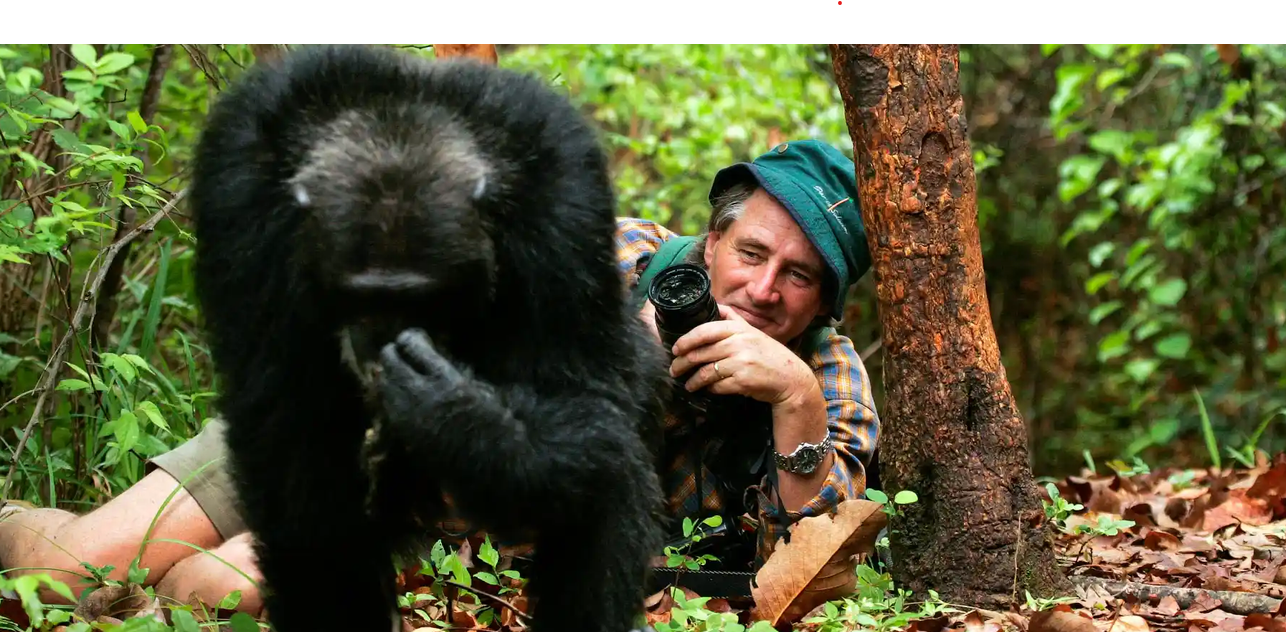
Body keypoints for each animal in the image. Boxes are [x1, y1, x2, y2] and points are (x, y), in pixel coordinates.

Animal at [187, 43, 670, 632]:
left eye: (421, 297)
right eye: (362, 296)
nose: (381, 341)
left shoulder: (565, 189)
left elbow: (587, 388)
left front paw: (459, 415)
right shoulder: (237, 189)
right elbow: (290, 437)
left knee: (606, 474)